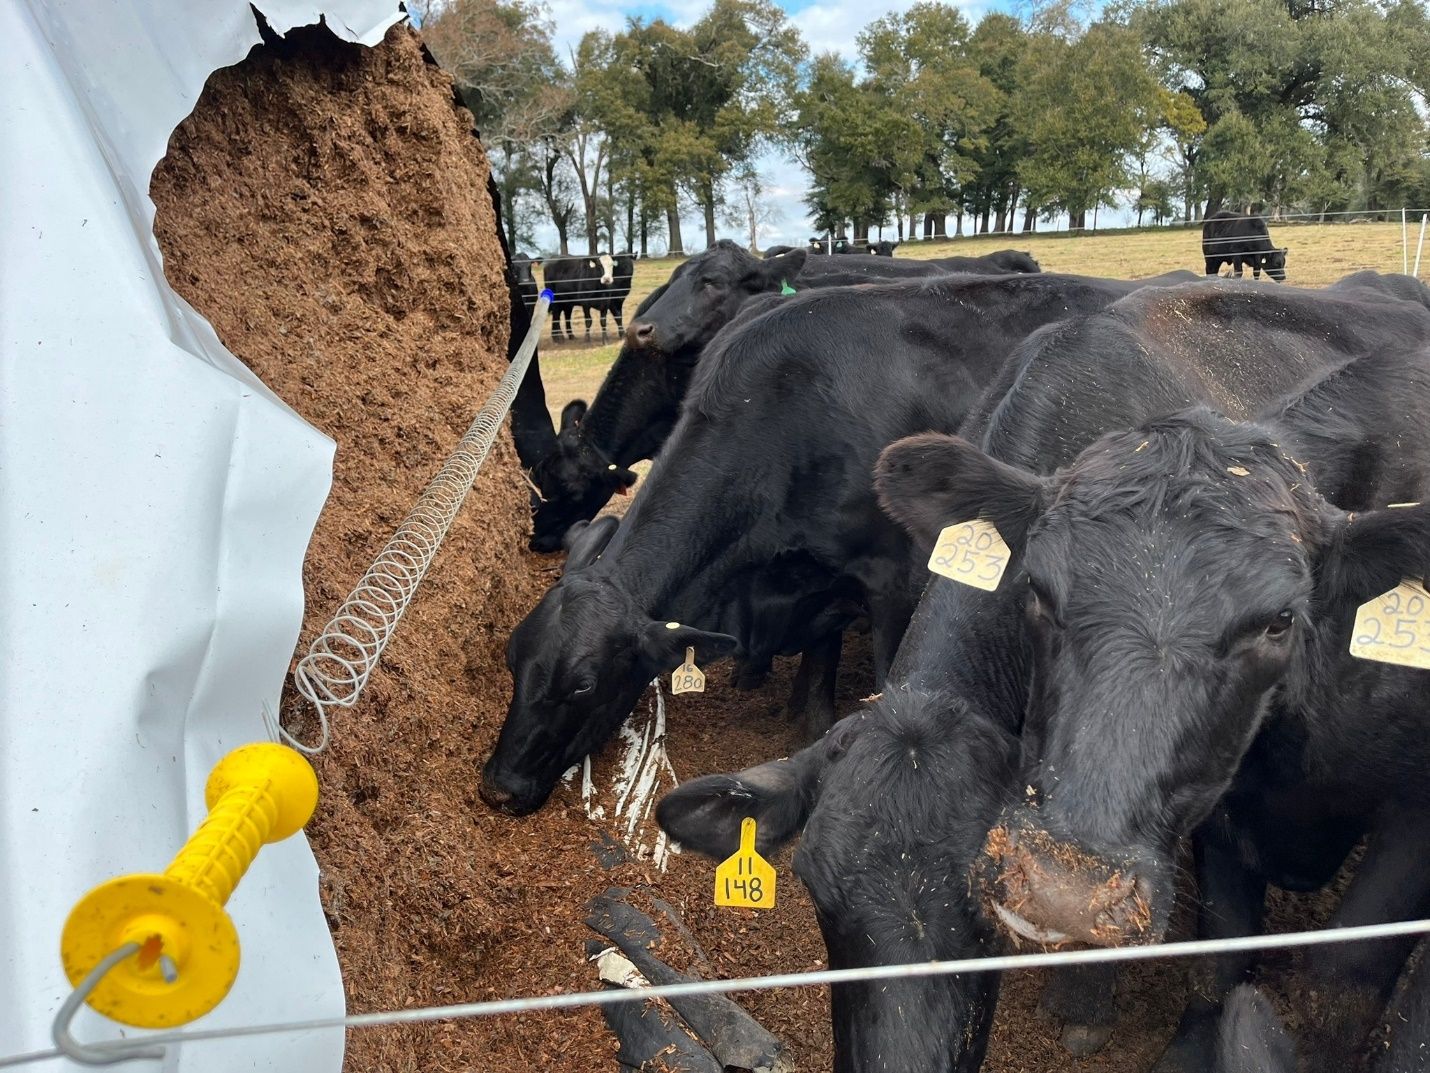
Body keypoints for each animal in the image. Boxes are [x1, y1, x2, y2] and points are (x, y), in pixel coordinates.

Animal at [481, 270, 1202, 816]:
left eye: (582, 684)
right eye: (514, 658)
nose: (497, 788)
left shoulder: (895, 578)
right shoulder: (819, 577)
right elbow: (818, 664)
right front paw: (806, 716)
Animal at [876, 337, 1430, 1071]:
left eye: (1280, 620)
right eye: (1037, 588)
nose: (1062, 891)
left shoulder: (1412, 819)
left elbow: (1339, 980)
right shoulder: (1222, 802)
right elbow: (1221, 952)